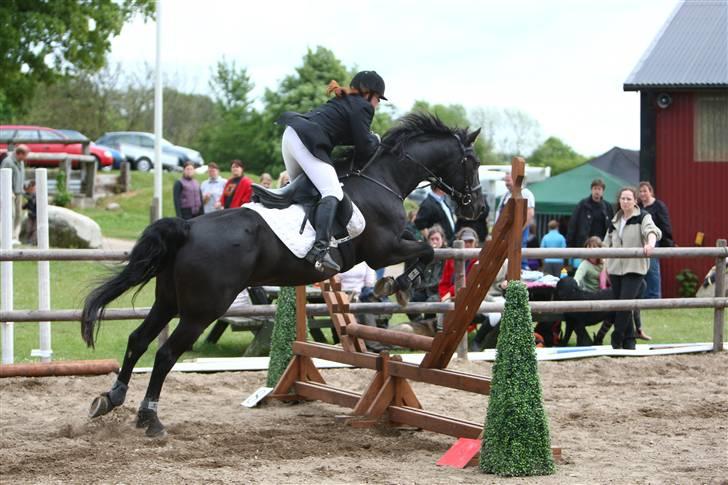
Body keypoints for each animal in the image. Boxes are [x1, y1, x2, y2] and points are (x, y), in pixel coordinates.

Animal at [81, 111, 484, 436]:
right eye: (473, 162)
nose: (477, 208)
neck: (382, 179)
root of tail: (188, 227)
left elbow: (424, 248)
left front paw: (396, 284)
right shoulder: (382, 249)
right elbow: (426, 248)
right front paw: (398, 283)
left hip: (169, 300)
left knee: (138, 340)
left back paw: (111, 398)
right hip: (200, 310)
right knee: (165, 354)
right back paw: (150, 418)